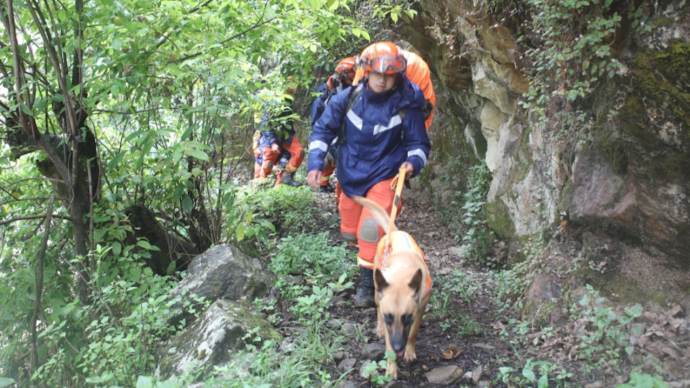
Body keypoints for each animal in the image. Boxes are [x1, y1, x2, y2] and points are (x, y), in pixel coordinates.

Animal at [352, 197, 428, 378]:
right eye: (389, 317)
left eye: (407, 317)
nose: (399, 347)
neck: (403, 268)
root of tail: (394, 233)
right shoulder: (388, 325)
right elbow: (388, 345)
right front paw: (391, 369)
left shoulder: (420, 308)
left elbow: (413, 333)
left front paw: (409, 352)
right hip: (376, 293)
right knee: (377, 310)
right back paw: (379, 328)